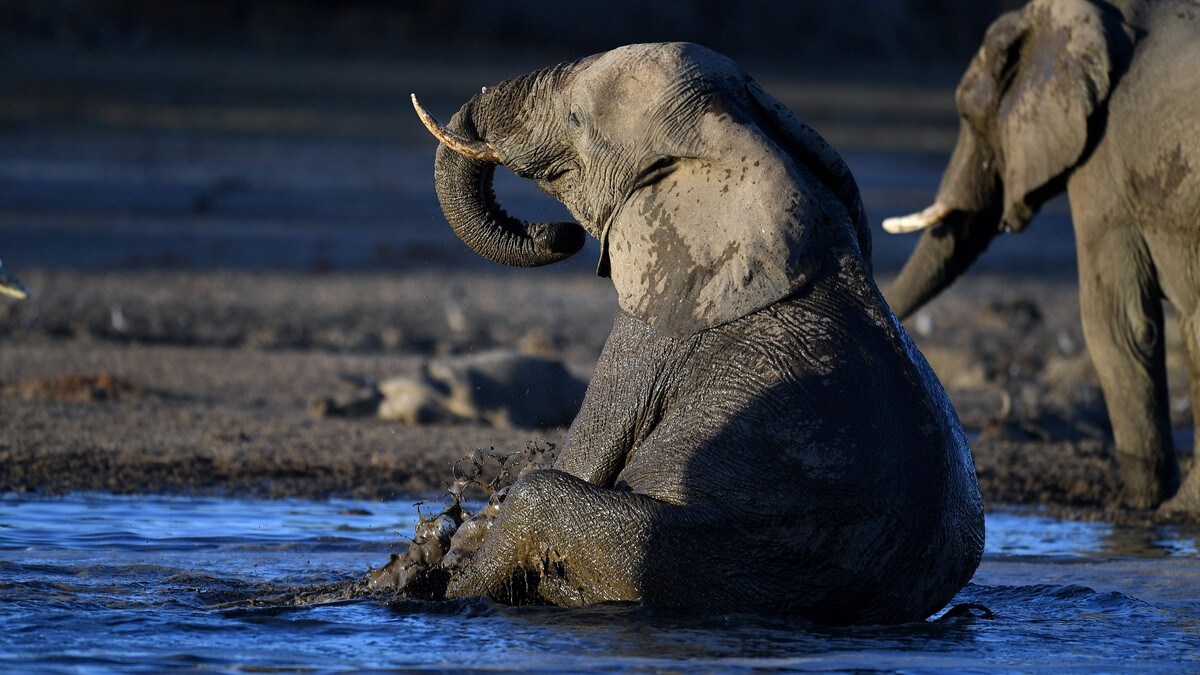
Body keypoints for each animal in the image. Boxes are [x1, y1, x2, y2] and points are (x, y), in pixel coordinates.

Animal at [403, 40, 984, 619]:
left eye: (575, 117)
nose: (560, 234)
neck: (745, 143)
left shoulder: (661, 322)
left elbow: (585, 456)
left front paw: (443, 558)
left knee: (540, 497)